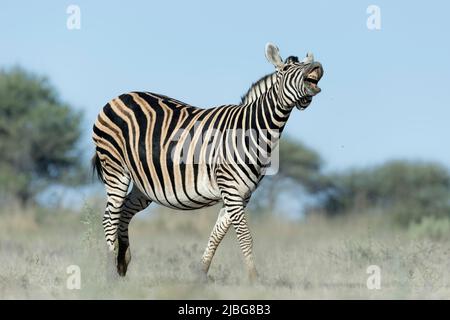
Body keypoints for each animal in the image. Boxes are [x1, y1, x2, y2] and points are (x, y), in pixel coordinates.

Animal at [92, 43, 324, 280]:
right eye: (286, 69)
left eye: (306, 64)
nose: (316, 67)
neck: (253, 132)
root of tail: (118, 97)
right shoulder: (231, 189)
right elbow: (245, 236)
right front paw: (254, 278)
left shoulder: (242, 195)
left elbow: (218, 233)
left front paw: (201, 275)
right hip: (115, 169)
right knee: (110, 217)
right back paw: (110, 273)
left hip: (144, 184)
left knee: (123, 212)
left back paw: (122, 262)